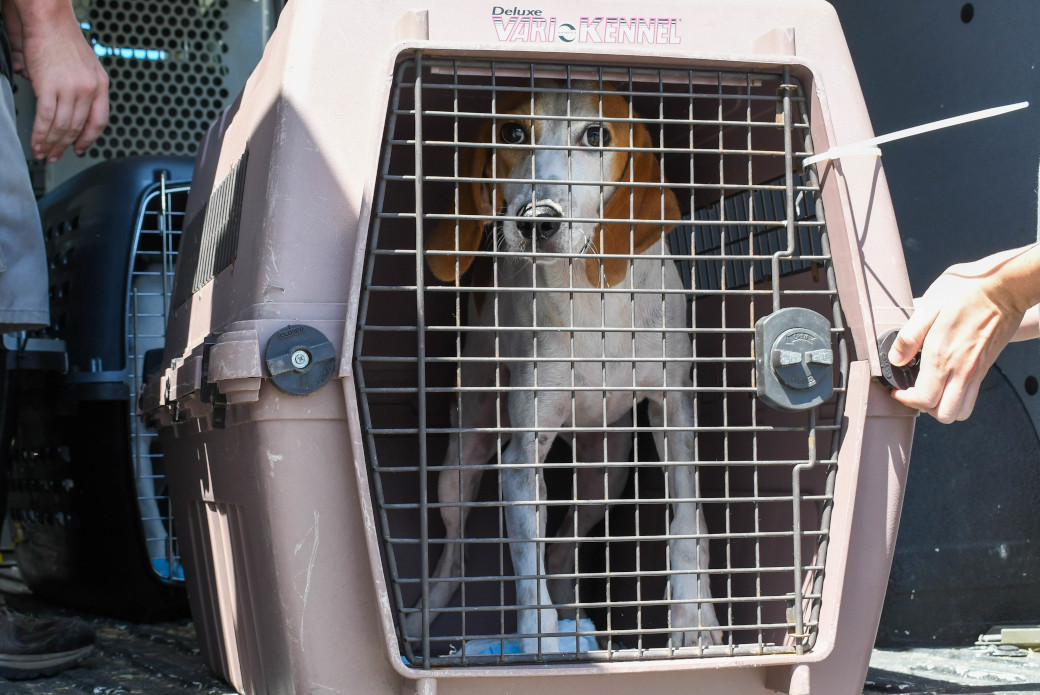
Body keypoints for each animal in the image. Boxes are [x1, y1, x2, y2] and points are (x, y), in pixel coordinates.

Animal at [409, 84, 719, 653]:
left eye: (596, 134)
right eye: (512, 132)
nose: (537, 218)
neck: (594, 297)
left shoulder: (674, 414)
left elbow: (689, 525)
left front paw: (695, 619)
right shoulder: (520, 459)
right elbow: (526, 564)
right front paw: (539, 645)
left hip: (607, 473)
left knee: (559, 551)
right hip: (460, 462)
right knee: (456, 556)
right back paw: (426, 620)